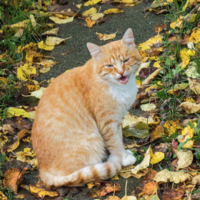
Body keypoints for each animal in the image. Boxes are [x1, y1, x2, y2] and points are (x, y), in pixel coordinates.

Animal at [32, 28, 142, 188]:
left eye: (126, 60)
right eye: (109, 66)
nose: (121, 72)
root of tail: (42, 168)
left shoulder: (117, 119)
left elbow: (119, 138)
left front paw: (123, 154)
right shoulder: (107, 123)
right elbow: (114, 142)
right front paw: (122, 158)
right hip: (92, 141)